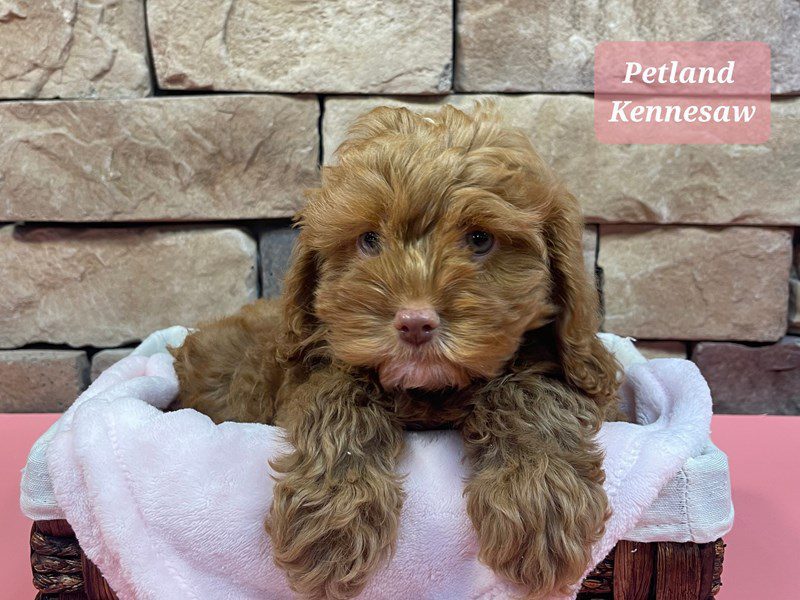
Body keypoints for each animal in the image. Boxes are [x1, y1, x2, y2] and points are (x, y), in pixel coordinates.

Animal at [171, 101, 621, 599]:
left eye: (479, 239)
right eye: (369, 240)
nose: (415, 322)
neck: (430, 393)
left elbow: (532, 393)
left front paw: (539, 498)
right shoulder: (315, 367)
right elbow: (337, 401)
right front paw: (331, 520)